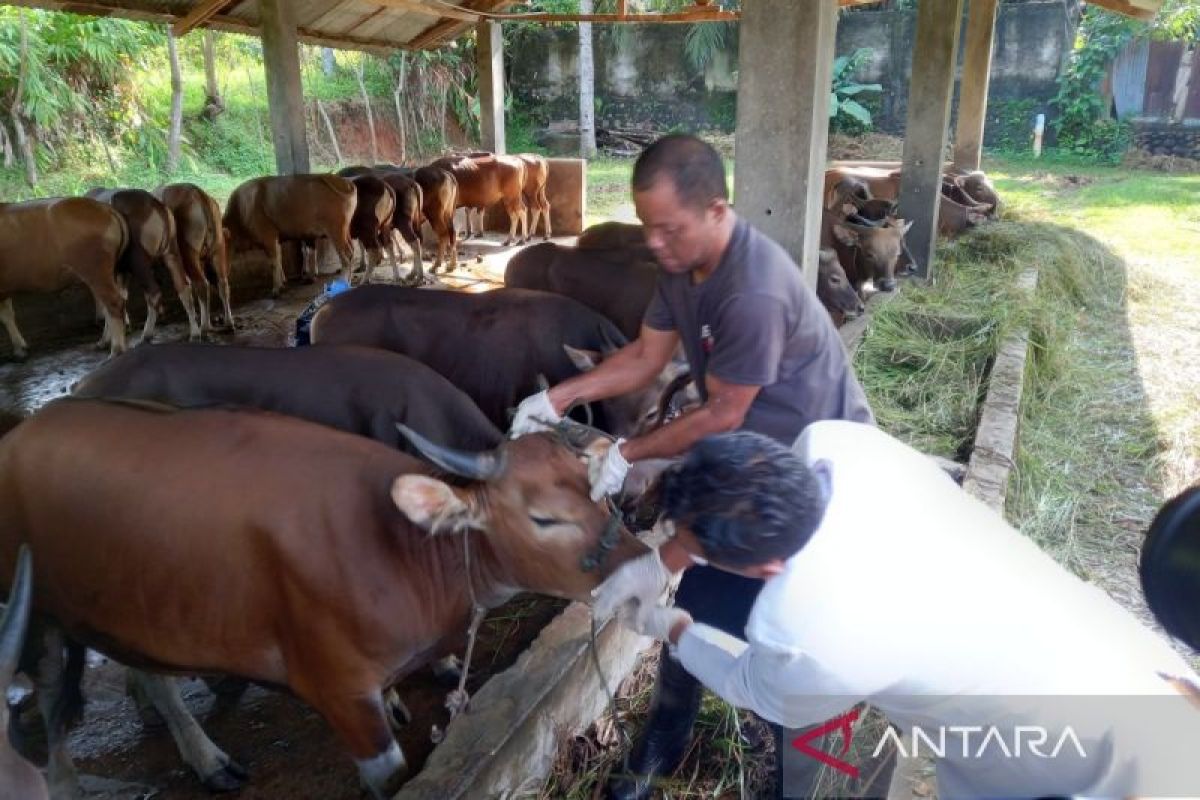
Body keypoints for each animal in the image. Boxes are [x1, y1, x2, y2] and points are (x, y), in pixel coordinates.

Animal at [0, 196, 129, 359]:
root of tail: (104, 207)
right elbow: (7, 314)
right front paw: (20, 348)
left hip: (96, 272)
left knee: (114, 303)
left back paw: (117, 349)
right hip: (110, 272)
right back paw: (104, 342)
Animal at [0, 402, 648, 796]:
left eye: (593, 489)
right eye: (543, 518)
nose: (647, 570)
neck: (402, 551)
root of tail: (28, 427)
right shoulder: (338, 690)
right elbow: (389, 774)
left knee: (146, 671)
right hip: (36, 614)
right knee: (57, 702)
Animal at [87, 188, 201, 345]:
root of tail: (158, 208)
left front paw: (106, 340)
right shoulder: (121, 271)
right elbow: (121, 296)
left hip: (140, 261)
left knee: (154, 292)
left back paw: (146, 334)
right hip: (171, 252)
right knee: (182, 286)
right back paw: (194, 333)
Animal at [154, 182, 234, 331]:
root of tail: (198, 193)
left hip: (188, 252)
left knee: (202, 284)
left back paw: (205, 327)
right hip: (217, 248)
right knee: (222, 283)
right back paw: (228, 322)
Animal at [223, 173, 355, 296]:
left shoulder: (268, 236)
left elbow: (274, 262)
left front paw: (276, 289)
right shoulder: (276, 239)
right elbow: (279, 259)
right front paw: (283, 282)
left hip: (336, 230)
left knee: (346, 255)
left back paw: (343, 283)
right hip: (345, 230)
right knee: (351, 251)